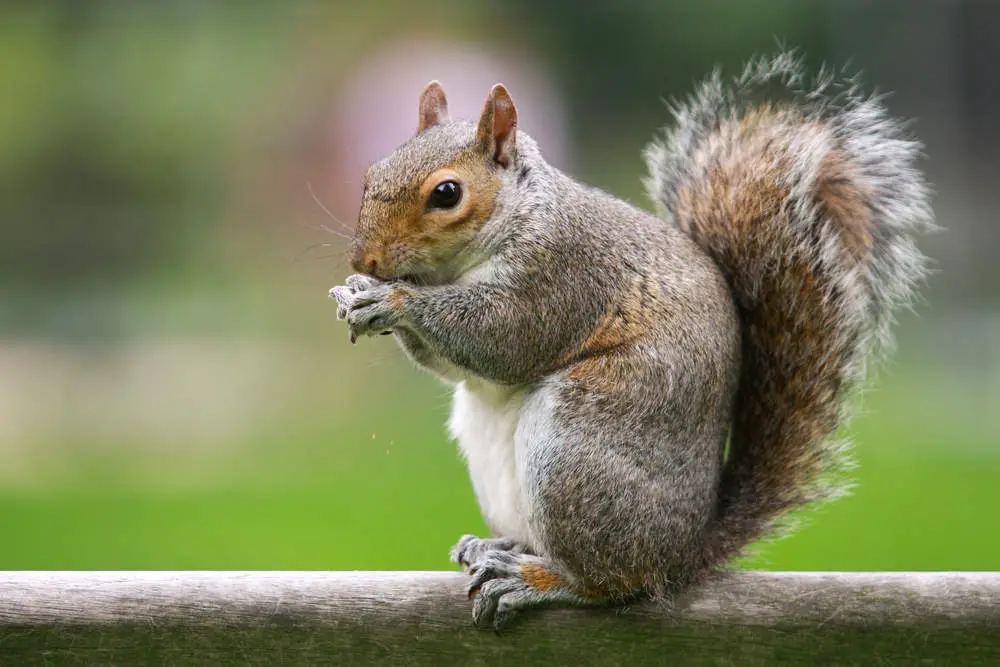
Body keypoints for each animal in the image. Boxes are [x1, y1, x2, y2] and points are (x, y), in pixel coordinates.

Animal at [332, 53, 932, 632]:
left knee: (611, 584)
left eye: (447, 193)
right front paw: (357, 292)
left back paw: (537, 580)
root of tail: (683, 555)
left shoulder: (561, 275)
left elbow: (503, 338)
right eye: (371, 173)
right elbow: (456, 365)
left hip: (576, 450)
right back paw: (497, 546)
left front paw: (394, 300)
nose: (366, 259)